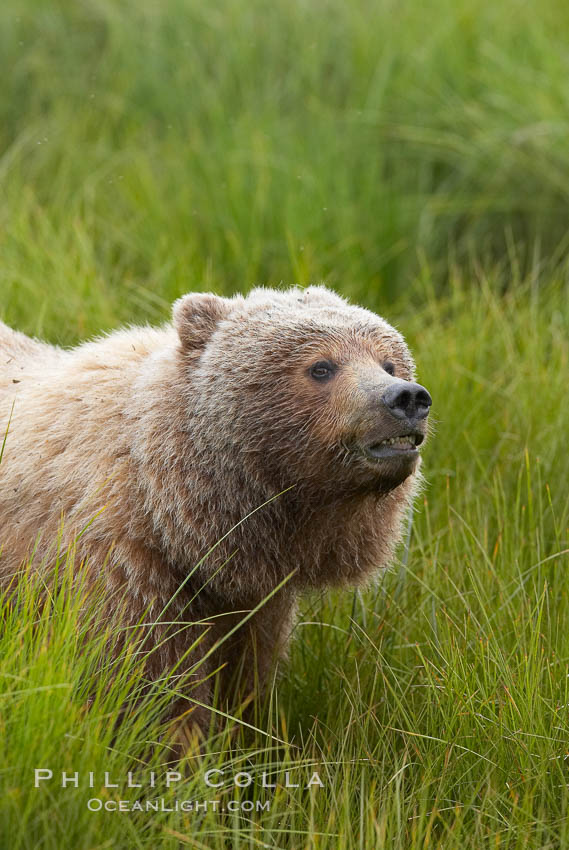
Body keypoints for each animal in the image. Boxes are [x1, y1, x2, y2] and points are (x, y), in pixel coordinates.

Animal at [0, 286, 428, 736]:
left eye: (389, 361)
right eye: (322, 366)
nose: (406, 396)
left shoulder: (253, 602)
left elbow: (244, 677)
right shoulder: (122, 571)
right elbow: (154, 691)